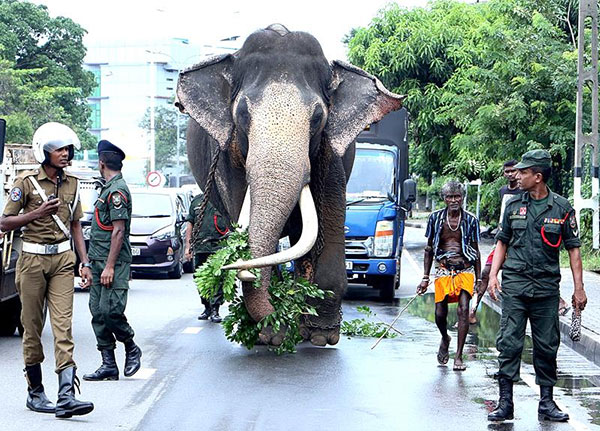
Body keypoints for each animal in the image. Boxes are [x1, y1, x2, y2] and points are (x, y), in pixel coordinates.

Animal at [178, 23, 404, 348]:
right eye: (242, 114)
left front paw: (321, 336)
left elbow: (329, 222)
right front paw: (272, 335)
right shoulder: (226, 158)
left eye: (318, 117)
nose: (234, 267)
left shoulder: (331, 154)